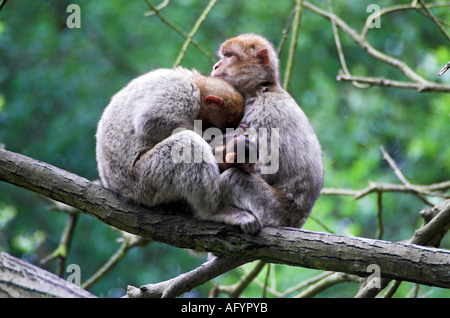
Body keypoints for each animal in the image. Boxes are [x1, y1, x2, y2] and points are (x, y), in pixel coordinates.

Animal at [96, 66, 262, 234]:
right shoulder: (182, 93)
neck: (197, 85)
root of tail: (116, 188)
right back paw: (214, 212)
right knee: (188, 143)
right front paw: (220, 139)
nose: (220, 133)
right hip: (143, 180)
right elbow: (151, 121)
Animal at [212, 33, 324, 230]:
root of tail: (298, 220)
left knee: (233, 179)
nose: (216, 66)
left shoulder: (264, 113)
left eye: (230, 55)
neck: (261, 88)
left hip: (274, 211)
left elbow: (257, 168)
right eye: (223, 55)